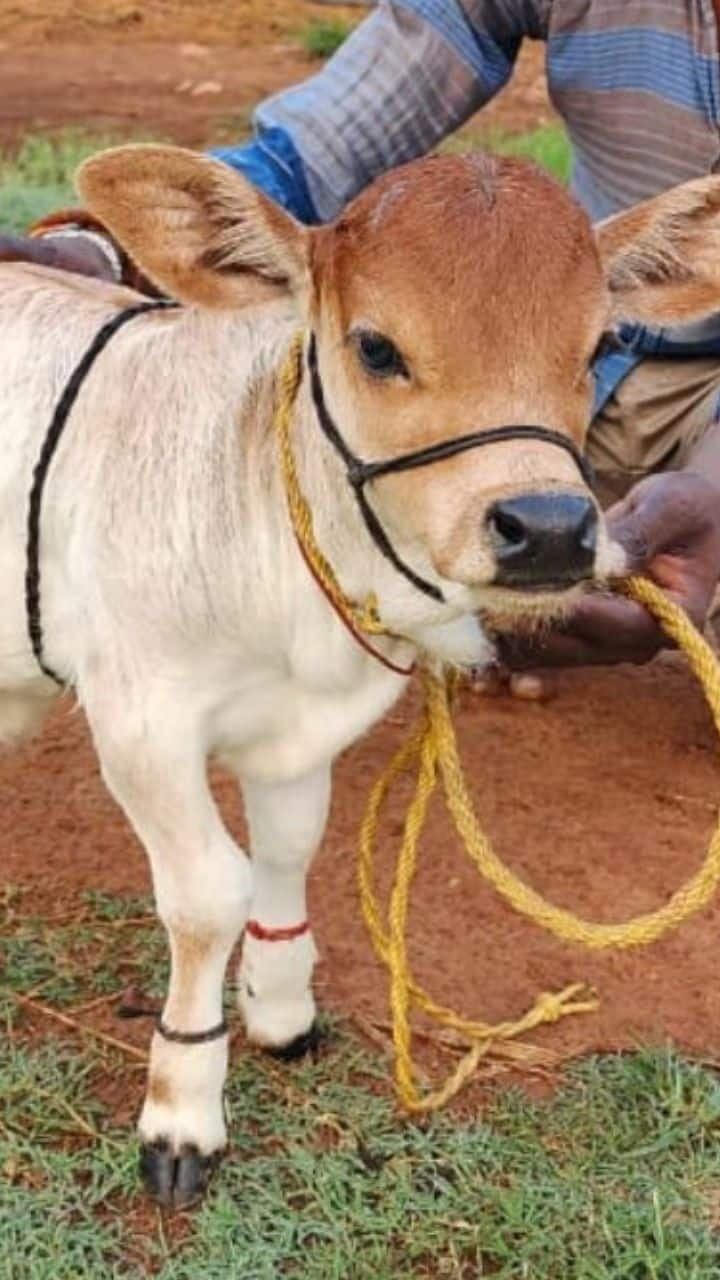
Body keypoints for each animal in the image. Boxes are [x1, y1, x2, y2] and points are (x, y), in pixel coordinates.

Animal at [1, 145, 717, 1203]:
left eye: (598, 348)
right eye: (377, 349)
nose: (548, 528)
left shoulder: (304, 733)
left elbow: (288, 851)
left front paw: (281, 1009)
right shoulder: (140, 725)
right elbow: (209, 894)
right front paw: (183, 1109)